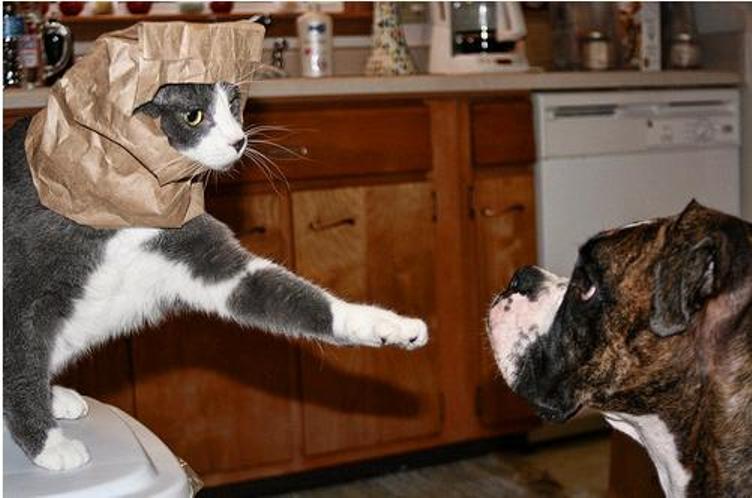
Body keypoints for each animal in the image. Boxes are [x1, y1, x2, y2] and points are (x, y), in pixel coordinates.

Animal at [3, 81, 428, 471]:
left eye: (235, 104)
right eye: (194, 115)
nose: (239, 141)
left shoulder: (198, 253)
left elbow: (287, 295)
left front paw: (390, 326)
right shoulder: (18, 287)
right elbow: (20, 357)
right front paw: (47, 445)